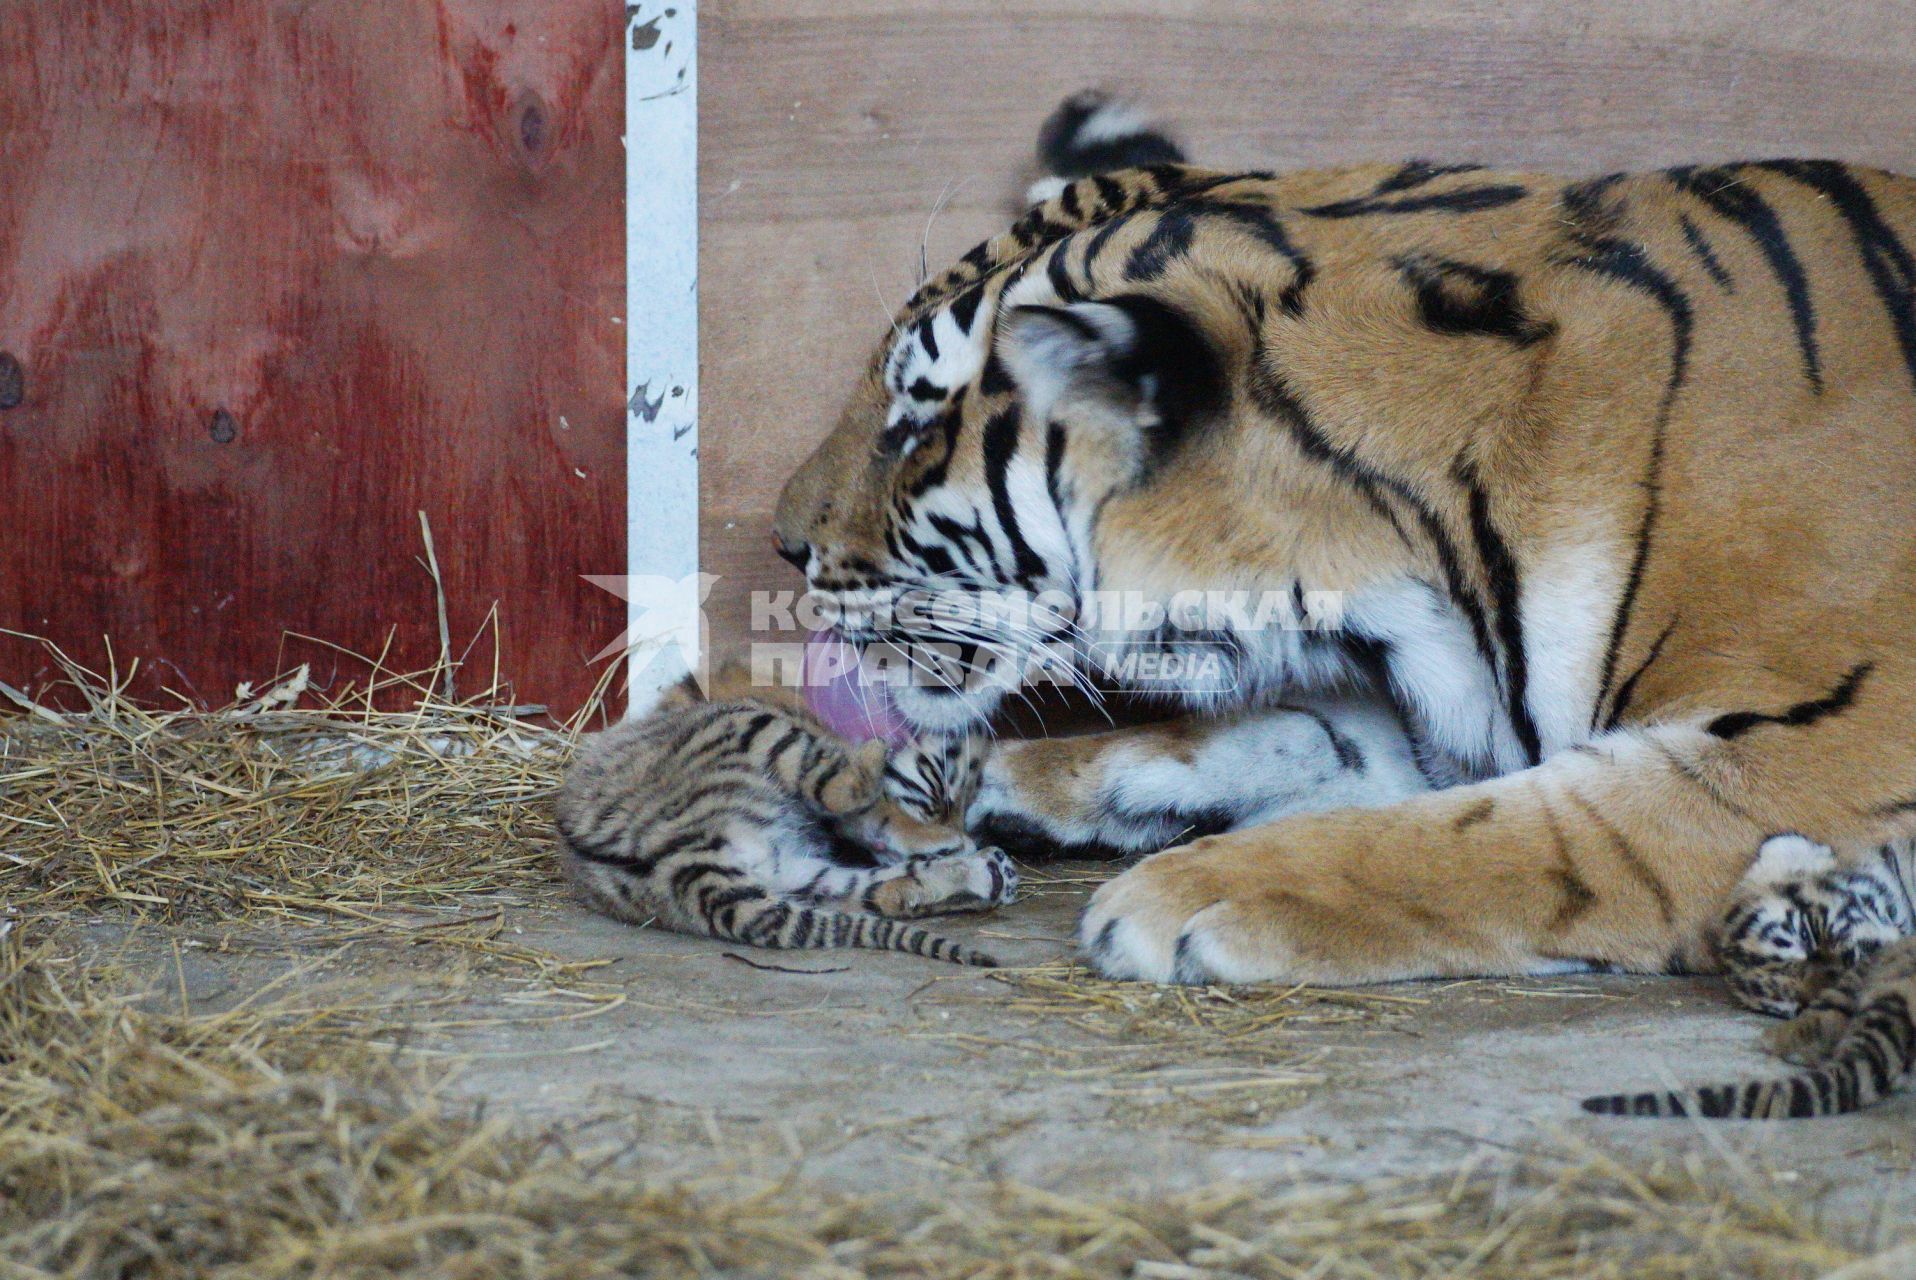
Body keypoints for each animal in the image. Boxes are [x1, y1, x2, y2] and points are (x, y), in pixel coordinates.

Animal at [770, 94, 1916, 988]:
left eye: (912, 422)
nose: (782, 544)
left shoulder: (1788, 755)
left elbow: (1486, 836)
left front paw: (1190, 893)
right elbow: (1259, 735)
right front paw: (966, 777)